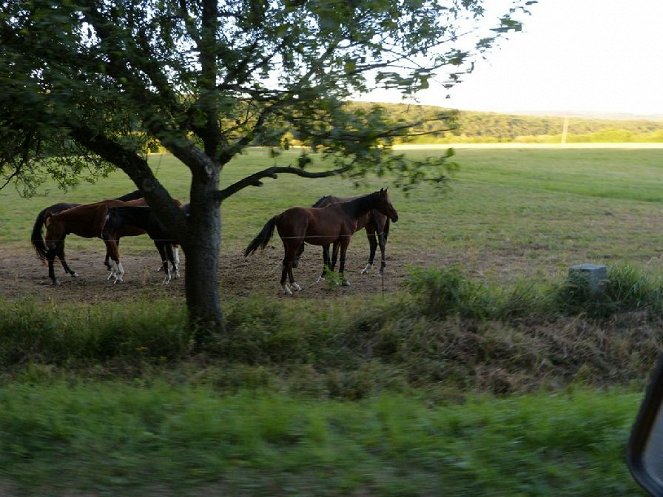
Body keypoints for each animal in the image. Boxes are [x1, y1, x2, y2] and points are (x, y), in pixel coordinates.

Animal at [245, 188, 396, 292]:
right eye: (386, 202)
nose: (396, 216)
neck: (347, 211)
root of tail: (280, 215)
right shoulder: (343, 240)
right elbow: (340, 259)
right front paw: (342, 280)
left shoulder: (335, 241)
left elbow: (333, 259)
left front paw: (332, 279)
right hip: (293, 244)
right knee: (286, 262)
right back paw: (288, 287)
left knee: (377, 245)